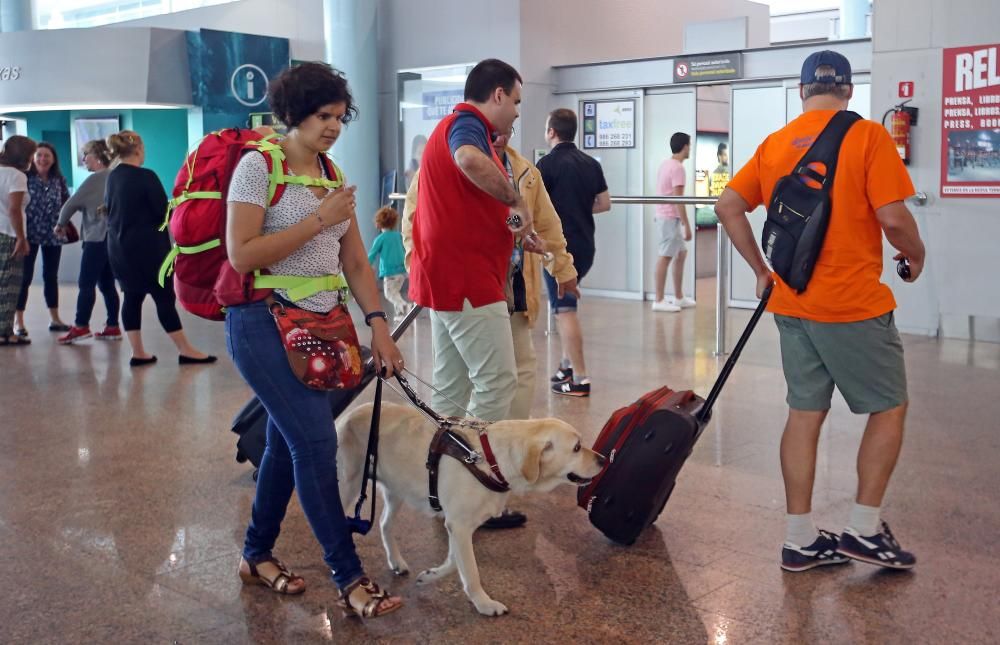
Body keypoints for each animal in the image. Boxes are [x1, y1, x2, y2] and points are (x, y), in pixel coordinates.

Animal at [336, 400, 604, 616]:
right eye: (577, 447)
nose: (603, 459)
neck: (490, 460)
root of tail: (346, 415)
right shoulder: (460, 525)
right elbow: (471, 571)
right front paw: (484, 604)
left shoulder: (459, 526)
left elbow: (455, 561)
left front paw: (430, 576)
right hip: (348, 486)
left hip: (396, 490)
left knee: (384, 524)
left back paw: (396, 562)